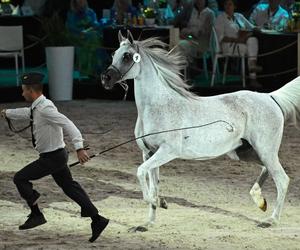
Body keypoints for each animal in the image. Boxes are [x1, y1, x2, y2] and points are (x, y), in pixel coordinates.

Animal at [101, 30, 300, 231]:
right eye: (114, 54)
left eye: (127, 56)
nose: (105, 78)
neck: (159, 106)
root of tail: (270, 96)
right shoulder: (148, 153)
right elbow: (152, 185)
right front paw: (147, 223)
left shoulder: (167, 151)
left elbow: (141, 173)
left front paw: (160, 202)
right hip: (244, 152)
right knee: (266, 170)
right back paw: (259, 200)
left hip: (265, 150)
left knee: (282, 179)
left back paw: (271, 220)